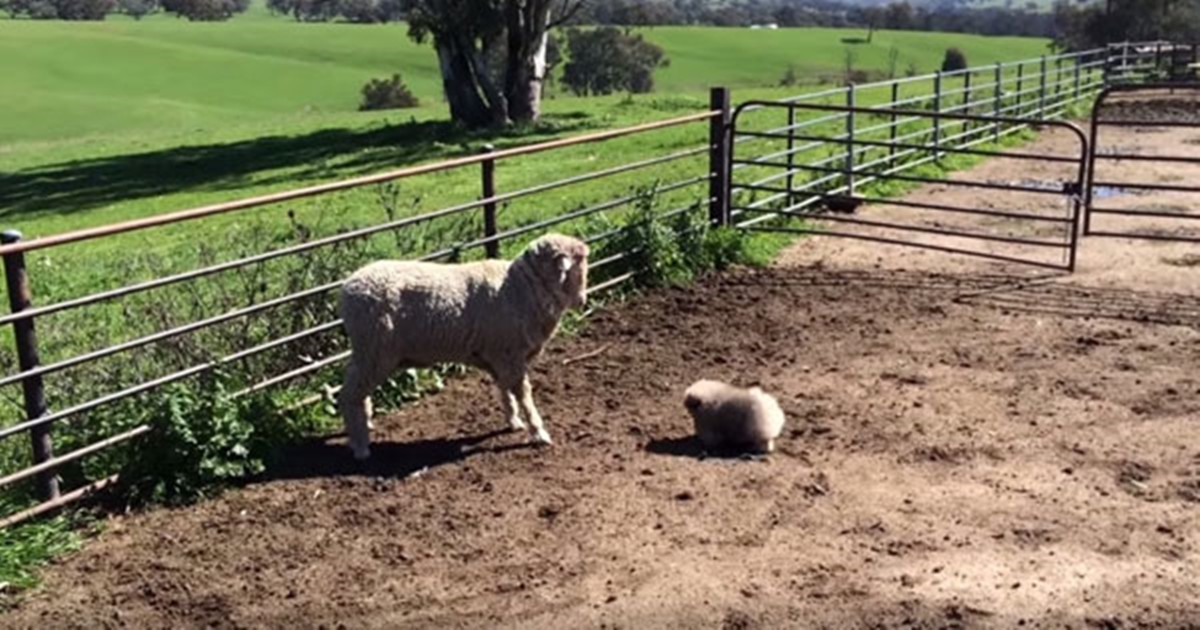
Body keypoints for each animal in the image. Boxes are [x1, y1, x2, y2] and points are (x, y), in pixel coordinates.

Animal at [336, 233, 590, 460]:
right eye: (578, 267)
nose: (583, 301)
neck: (522, 288)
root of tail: (348, 287)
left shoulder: (498, 355)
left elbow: (504, 391)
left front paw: (513, 421)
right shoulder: (510, 354)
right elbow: (524, 395)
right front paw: (539, 432)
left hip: (367, 352)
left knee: (357, 393)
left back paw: (366, 422)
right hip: (374, 350)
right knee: (349, 395)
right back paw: (361, 447)